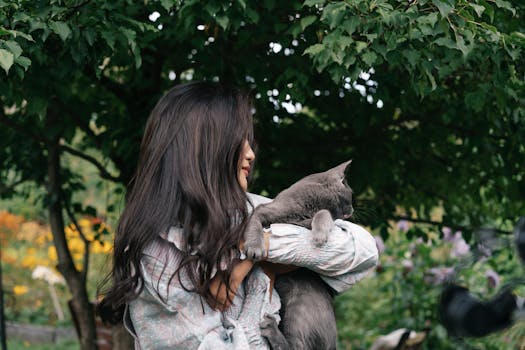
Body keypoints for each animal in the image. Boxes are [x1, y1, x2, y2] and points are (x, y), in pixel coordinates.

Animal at [244, 160, 354, 348]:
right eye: (351, 194)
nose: (352, 210)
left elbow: (324, 213)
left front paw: (319, 235)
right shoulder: (266, 210)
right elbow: (254, 220)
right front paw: (254, 246)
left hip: (302, 306)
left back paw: (270, 328)